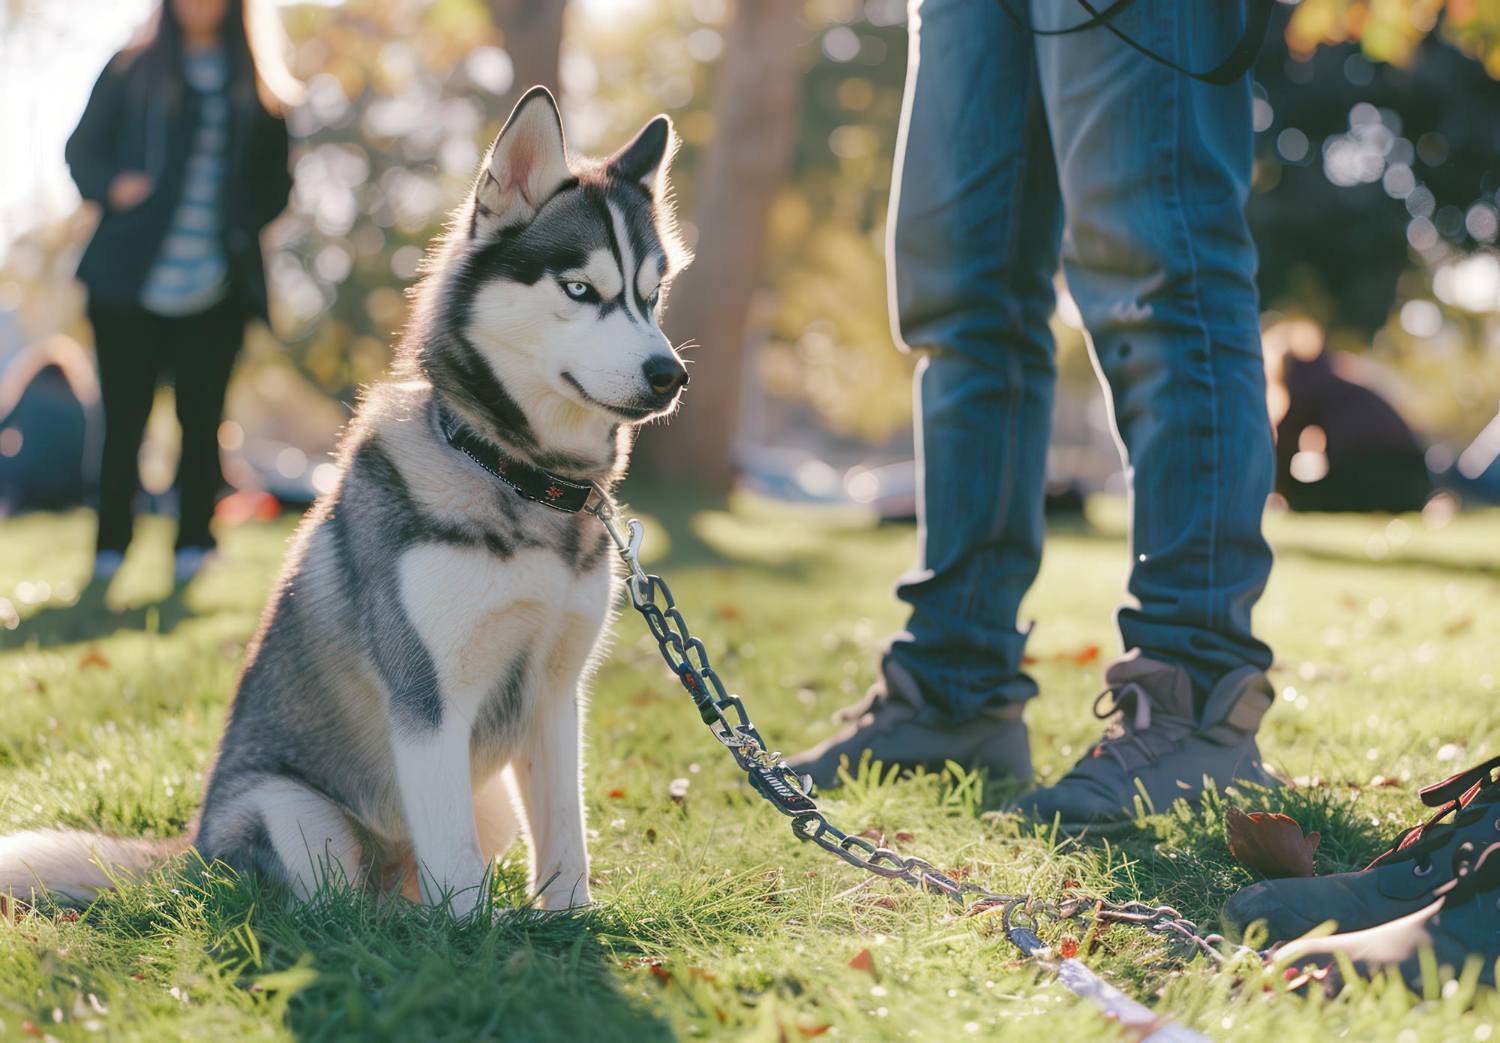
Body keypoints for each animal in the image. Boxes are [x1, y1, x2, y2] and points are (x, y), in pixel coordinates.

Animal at [0, 89, 690, 924]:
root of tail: (190, 850)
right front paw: (477, 939)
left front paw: (567, 923)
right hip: (292, 809)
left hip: (483, 797)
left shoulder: (557, 693)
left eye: (651, 295)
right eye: (581, 290)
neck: (517, 475)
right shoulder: (427, 699)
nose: (669, 374)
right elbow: (454, 863)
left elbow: (567, 836)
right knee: (338, 907)